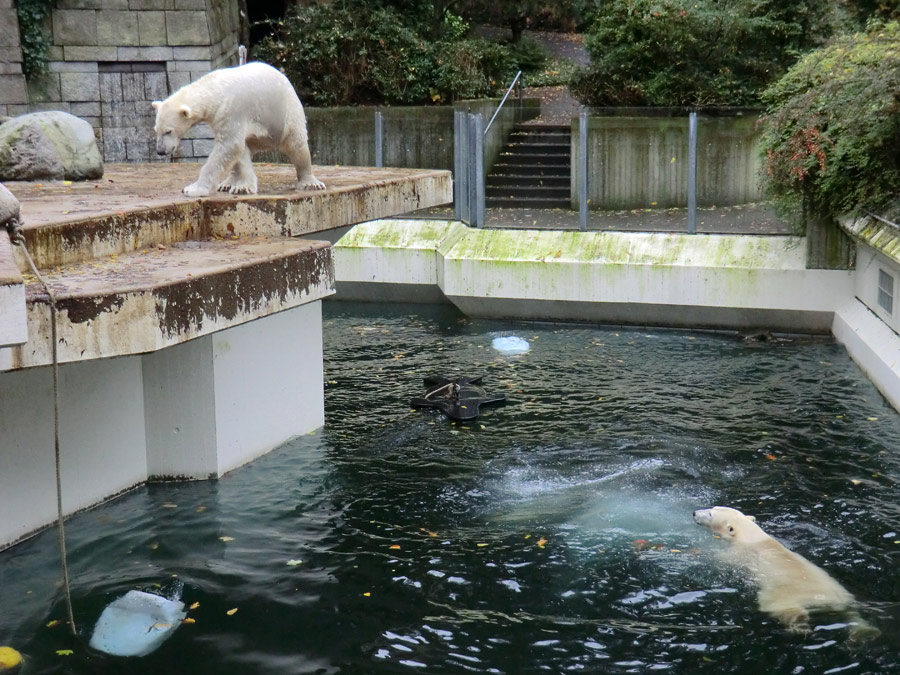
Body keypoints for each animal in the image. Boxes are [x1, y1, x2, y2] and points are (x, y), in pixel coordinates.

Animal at [150, 62, 324, 198]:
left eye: (168, 131)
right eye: (156, 130)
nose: (160, 151)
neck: (215, 89)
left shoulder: (231, 110)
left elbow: (230, 145)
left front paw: (193, 189)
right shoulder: (221, 118)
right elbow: (236, 149)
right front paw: (243, 187)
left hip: (286, 113)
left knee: (296, 144)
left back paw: (310, 183)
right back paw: (227, 183)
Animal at [692, 508, 876, 640]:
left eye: (710, 514)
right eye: (713, 508)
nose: (694, 513)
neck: (753, 536)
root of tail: (831, 600)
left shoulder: (738, 554)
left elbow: (719, 560)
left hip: (784, 594)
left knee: (779, 607)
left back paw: (800, 627)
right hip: (842, 591)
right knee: (851, 612)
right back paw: (864, 632)